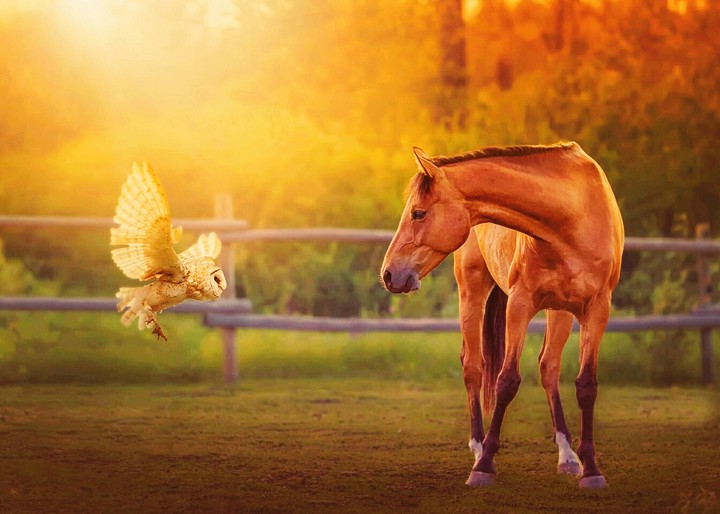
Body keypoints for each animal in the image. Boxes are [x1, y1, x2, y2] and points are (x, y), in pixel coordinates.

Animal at [380, 142, 624, 489]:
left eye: (418, 213)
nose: (388, 274)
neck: (572, 218)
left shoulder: (598, 309)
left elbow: (586, 385)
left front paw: (591, 469)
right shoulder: (519, 305)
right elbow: (506, 381)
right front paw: (484, 466)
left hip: (559, 312)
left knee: (548, 367)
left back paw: (567, 456)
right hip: (472, 291)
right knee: (473, 366)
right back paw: (478, 447)